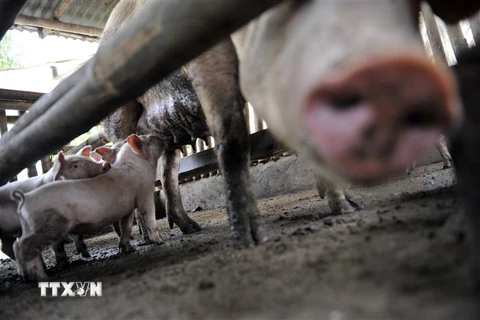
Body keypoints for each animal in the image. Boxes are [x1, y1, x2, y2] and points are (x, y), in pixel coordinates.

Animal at [11, 134, 163, 280]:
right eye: (150, 139)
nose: (160, 136)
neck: (137, 163)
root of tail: (25, 200)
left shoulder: (128, 207)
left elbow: (126, 226)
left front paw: (127, 249)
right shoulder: (144, 193)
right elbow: (149, 216)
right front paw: (159, 242)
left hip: (30, 227)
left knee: (22, 246)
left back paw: (33, 275)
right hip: (49, 225)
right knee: (21, 246)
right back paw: (34, 276)